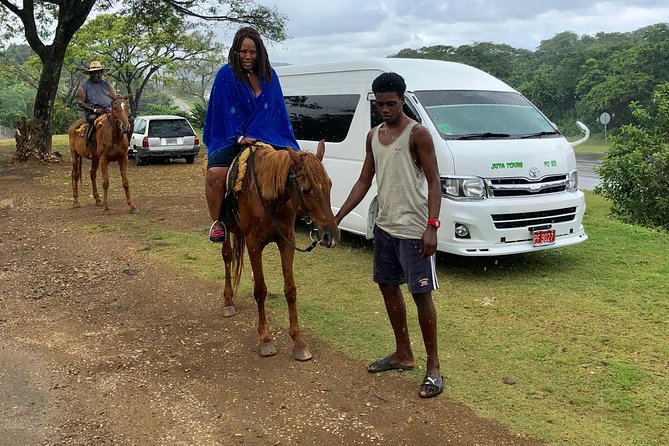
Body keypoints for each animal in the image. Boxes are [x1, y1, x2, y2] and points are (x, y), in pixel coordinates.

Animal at [223, 141, 340, 360]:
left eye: (329, 186)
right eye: (305, 190)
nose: (331, 236)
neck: (269, 199)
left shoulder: (287, 241)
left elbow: (290, 289)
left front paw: (298, 341)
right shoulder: (253, 244)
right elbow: (260, 290)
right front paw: (265, 338)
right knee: (227, 257)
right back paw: (228, 301)